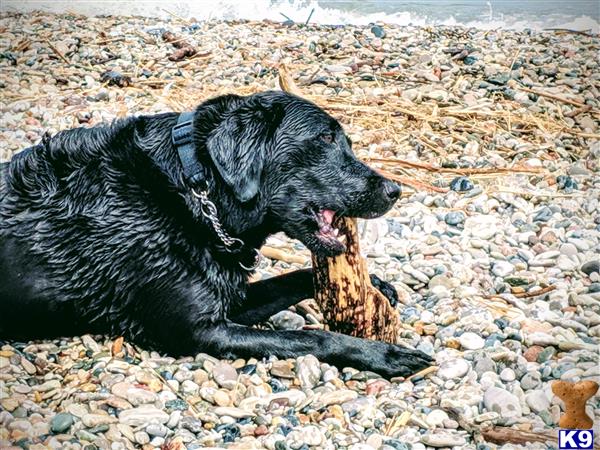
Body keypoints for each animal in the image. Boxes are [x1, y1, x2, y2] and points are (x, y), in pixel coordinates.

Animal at [1, 90, 432, 376]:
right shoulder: (199, 331)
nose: (395, 190)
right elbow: (314, 339)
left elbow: (295, 277)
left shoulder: (229, 297)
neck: (194, 188)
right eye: (325, 139)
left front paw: (379, 283)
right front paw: (387, 356)